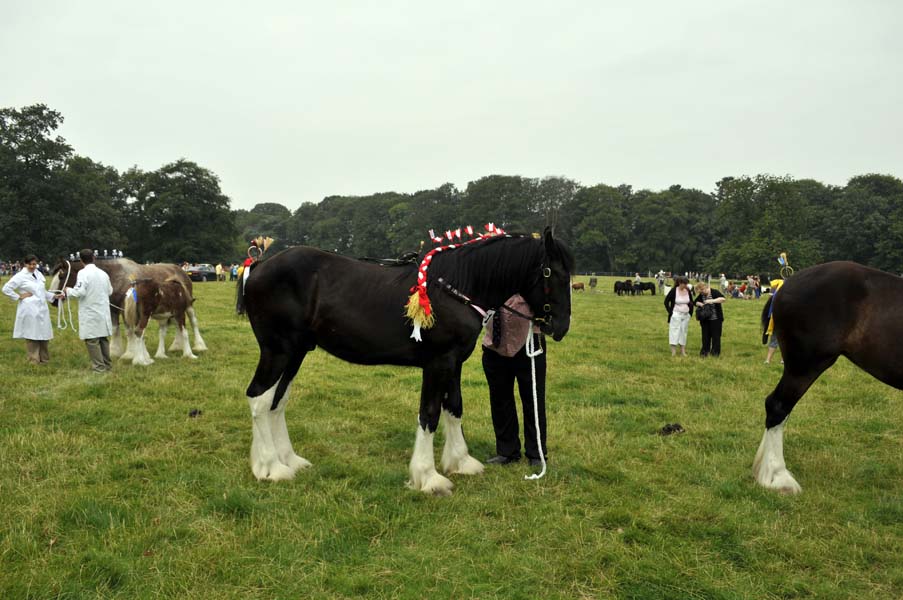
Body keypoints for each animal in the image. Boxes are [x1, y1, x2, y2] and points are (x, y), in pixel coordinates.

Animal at [50, 256, 207, 358]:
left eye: (61, 276)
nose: (53, 300)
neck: (115, 276)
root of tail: (181, 271)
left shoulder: (125, 309)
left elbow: (129, 331)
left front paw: (130, 353)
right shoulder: (113, 309)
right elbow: (115, 330)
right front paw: (115, 352)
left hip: (187, 306)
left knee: (193, 323)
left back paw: (198, 346)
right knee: (175, 325)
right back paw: (176, 346)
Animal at [233, 227, 572, 494]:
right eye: (550, 273)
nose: (560, 327)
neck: (456, 286)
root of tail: (260, 265)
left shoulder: (454, 362)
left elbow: (454, 408)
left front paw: (460, 462)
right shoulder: (438, 363)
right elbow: (429, 414)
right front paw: (428, 477)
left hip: (296, 353)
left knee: (278, 401)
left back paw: (287, 460)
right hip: (277, 351)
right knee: (259, 399)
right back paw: (270, 468)